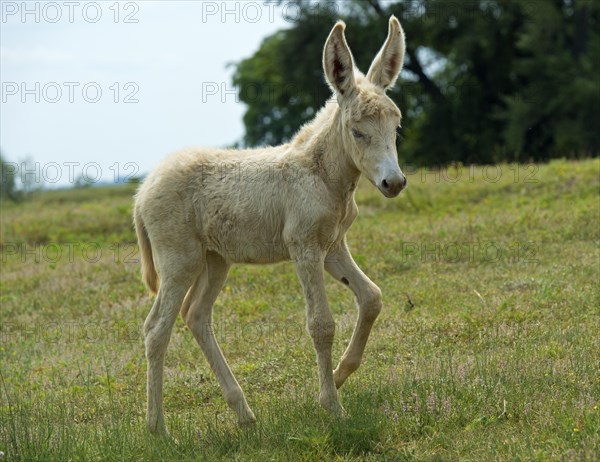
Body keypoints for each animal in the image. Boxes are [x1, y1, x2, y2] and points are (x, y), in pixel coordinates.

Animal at [135, 14, 408, 434]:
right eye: (358, 131)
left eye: (396, 127)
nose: (393, 183)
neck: (324, 177)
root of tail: (143, 190)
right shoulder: (304, 247)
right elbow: (321, 324)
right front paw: (332, 406)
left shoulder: (333, 246)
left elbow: (372, 297)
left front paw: (341, 374)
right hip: (179, 260)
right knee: (156, 330)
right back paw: (158, 430)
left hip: (215, 259)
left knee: (196, 315)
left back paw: (244, 413)